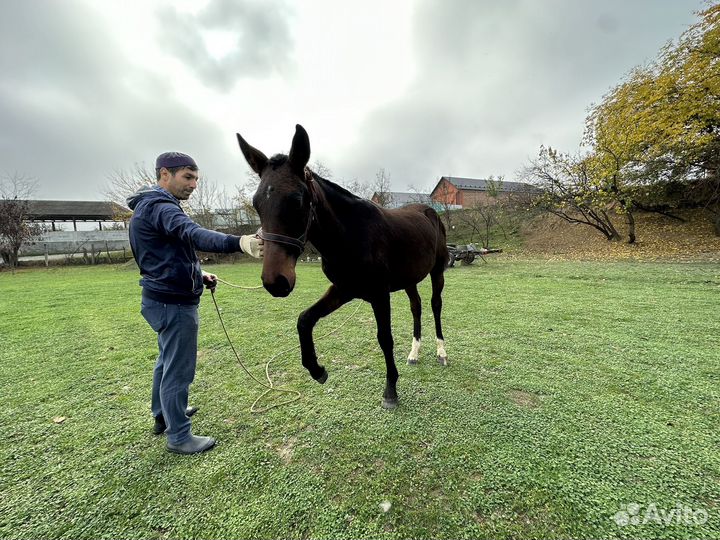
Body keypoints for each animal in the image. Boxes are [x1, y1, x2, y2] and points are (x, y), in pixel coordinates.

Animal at [237, 124, 448, 409]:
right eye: (257, 203)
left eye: (297, 200)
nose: (276, 282)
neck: (352, 235)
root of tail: (429, 211)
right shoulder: (344, 289)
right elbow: (305, 319)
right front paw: (317, 370)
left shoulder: (379, 295)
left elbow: (385, 338)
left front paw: (390, 389)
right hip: (409, 278)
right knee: (417, 307)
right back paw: (414, 353)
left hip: (437, 272)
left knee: (435, 305)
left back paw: (441, 351)